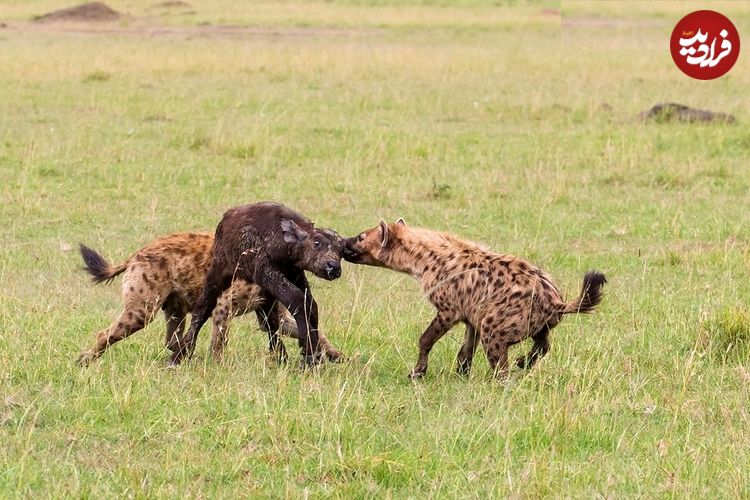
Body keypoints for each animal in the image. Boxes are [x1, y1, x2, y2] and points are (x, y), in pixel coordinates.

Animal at [78, 232, 344, 366]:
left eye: (340, 251)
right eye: (318, 245)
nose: (334, 268)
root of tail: (136, 254)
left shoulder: (271, 310)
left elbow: (314, 332)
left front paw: (337, 355)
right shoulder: (224, 305)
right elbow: (219, 342)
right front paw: (217, 367)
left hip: (174, 308)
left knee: (172, 338)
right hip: (143, 309)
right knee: (105, 333)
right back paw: (85, 360)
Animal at [172, 201, 346, 366]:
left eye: (341, 250)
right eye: (316, 243)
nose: (333, 267)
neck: (282, 241)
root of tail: (226, 218)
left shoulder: (295, 276)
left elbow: (310, 305)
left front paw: (315, 352)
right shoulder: (266, 272)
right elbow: (296, 300)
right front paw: (311, 355)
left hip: (265, 292)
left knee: (270, 322)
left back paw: (280, 356)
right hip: (220, 271)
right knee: (204, 306)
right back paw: (178, 356)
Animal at [344, 219, 608, 378]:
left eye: (360, 237)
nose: (344, 241)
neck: (423, 259)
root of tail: (556, 300)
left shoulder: (449, 309)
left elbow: (426, 339)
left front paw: (417, 373)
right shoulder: (473, 314)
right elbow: (466, 349)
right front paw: (461, 373)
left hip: (497, 324)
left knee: (501, 362)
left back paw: (503, 379)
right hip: (535, 323)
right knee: (543, 344)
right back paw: (523, 362)